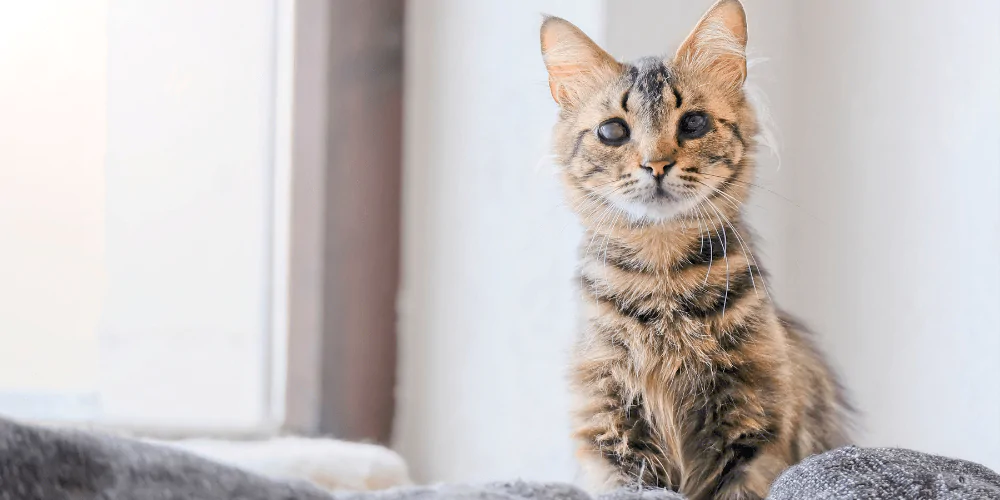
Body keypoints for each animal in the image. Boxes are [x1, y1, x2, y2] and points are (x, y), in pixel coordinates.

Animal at [540, 1, 852, 498]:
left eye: (694, 123)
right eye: (612, 132)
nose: (656, 165)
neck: (662, 279)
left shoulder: (755, 422)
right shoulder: (610, 426)